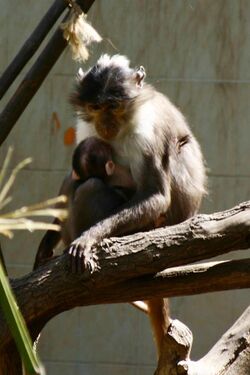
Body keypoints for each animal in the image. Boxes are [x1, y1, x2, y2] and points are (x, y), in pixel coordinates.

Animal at [69, 54, 207, 354]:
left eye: (113, 106)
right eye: (96, 107)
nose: (105, 124)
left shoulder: (147, 131)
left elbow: (156, 195)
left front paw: (90, 237)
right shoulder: (85, 128)